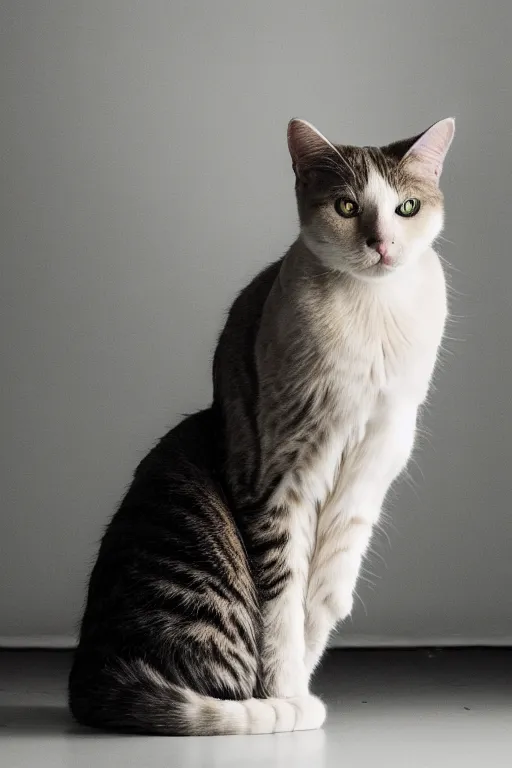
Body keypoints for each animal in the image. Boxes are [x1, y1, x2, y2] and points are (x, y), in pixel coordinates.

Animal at [67, 117, 452, 736]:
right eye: (347, 206)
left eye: (408, 207)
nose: (383, 244)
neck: (373, 314)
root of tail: (90, 681)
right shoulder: (277, 475)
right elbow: (282, 606)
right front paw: (288, 698)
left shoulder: (365, 482)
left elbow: (322, 604)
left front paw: (295, 689)